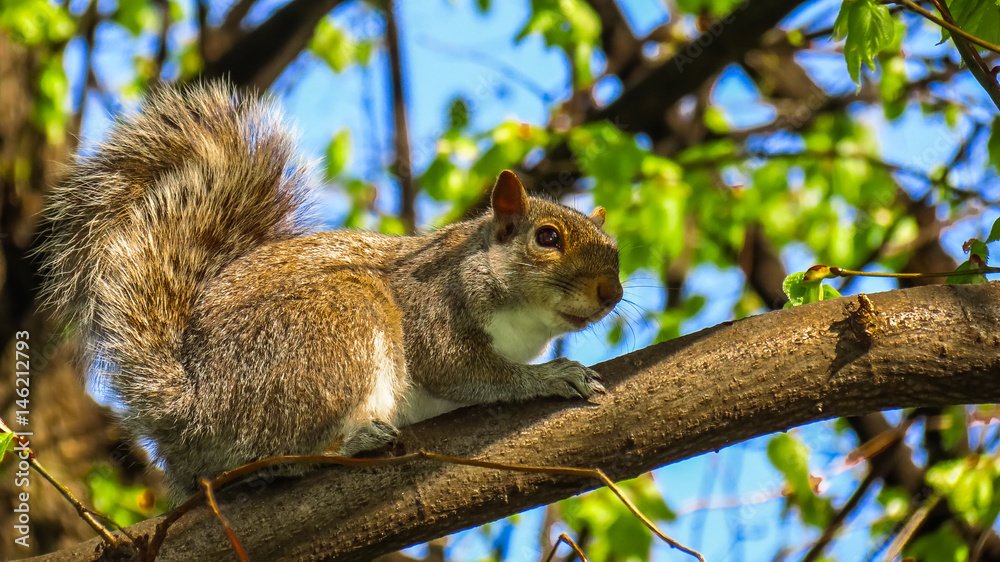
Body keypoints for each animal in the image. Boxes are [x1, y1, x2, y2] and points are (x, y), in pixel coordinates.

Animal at [41, 82, 624, 498]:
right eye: (547, 238)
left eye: (617, 251)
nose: (611, 293)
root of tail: (194, 408)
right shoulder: (432, 309)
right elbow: (460, 368)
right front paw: (551, 377)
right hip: (337, 325)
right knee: (274, 449)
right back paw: (353, 440)